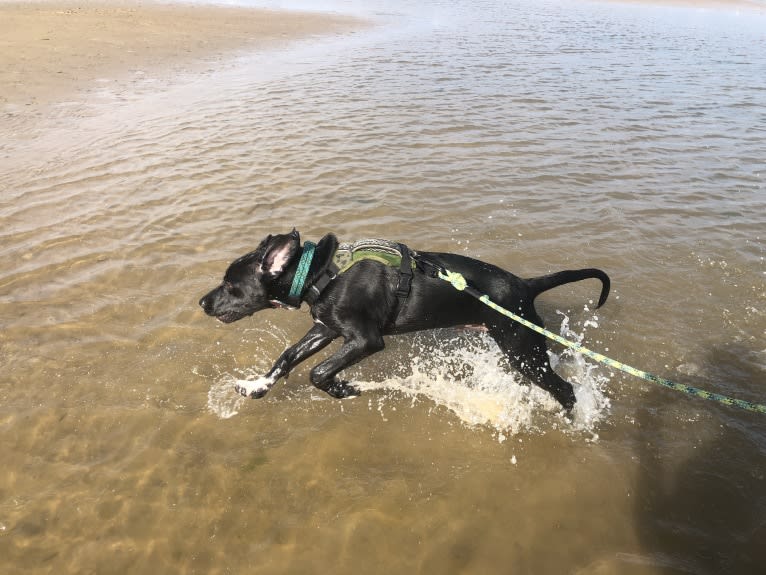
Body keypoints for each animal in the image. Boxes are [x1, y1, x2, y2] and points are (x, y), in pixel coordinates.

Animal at [200, 232, 612, 412]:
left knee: (565, 390)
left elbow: (317, 372)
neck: (322, 273)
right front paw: (256, 385)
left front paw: (343, 389)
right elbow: (287, 357)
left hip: (522, 349)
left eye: (231, 286)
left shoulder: (365, 339)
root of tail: (526, 285)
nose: (202, 303)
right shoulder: (326, 328)